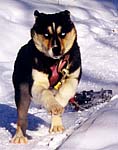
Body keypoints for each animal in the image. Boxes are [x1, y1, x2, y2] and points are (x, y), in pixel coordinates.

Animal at [10, 9, 81, 144]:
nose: (56, 49)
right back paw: (19, 137)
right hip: (21, 91)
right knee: (21, 116)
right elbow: (45, 92)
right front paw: (54, 105)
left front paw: (58, 106)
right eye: (46, 34)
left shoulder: (73, 76)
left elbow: (65, 91)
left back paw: (57, 125)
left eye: (62, 33)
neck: (54, 62)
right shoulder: (35, 84)